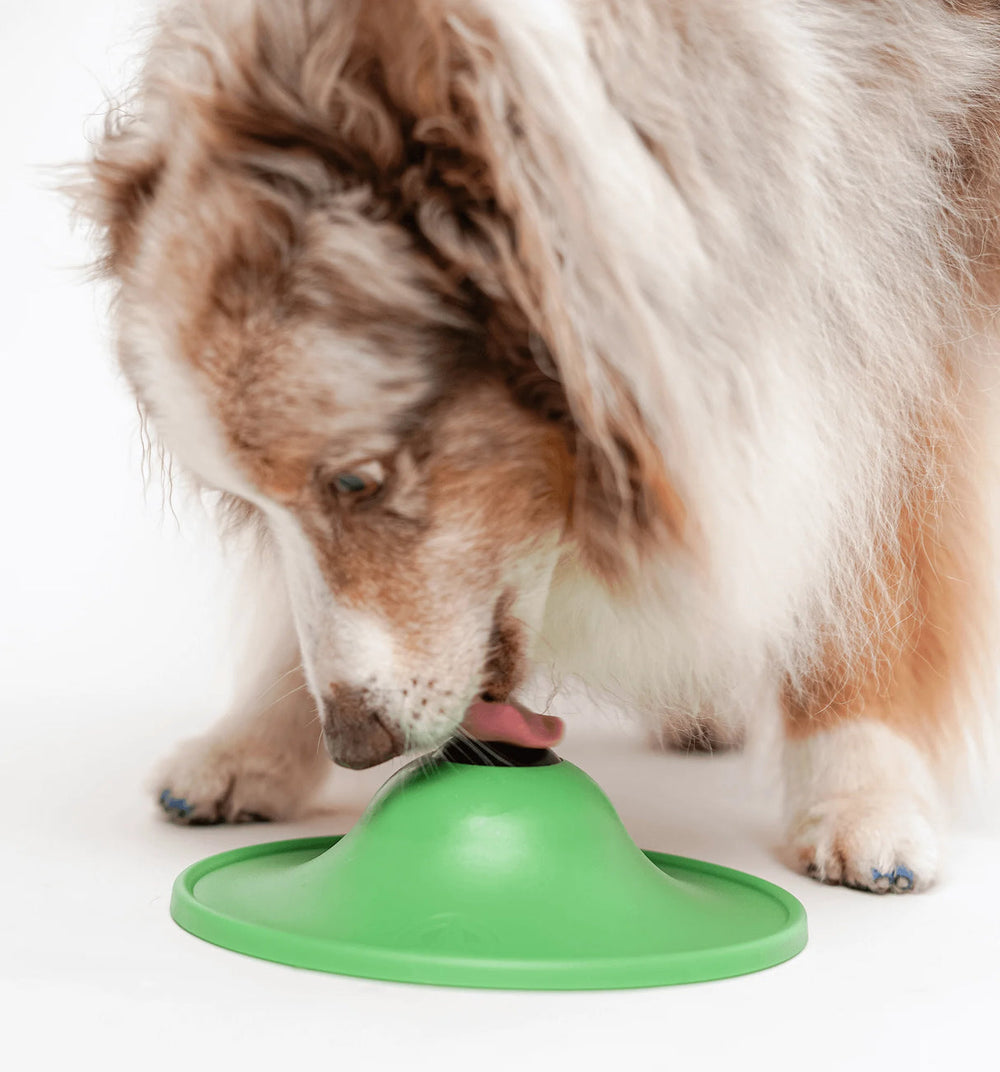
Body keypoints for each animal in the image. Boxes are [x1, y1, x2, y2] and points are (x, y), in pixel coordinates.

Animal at [79, 0, 998, 887]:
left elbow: (867, 560)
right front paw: (255, 746)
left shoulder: (906, 283)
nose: (354, 744)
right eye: (252, 500)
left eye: (355, 482)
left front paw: (863, 800)